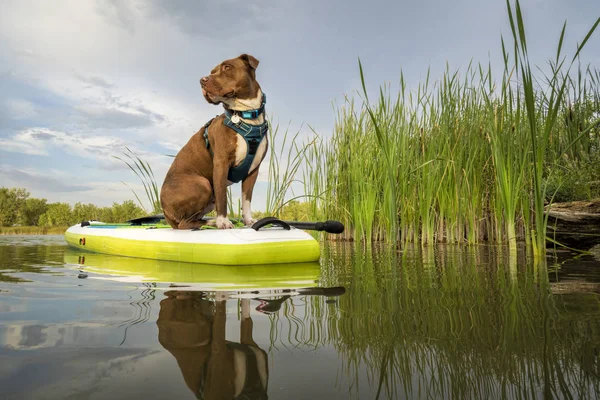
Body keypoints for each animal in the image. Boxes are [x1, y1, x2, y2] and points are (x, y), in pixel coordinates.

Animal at [162, 53, 270, 230]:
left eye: (227, 67)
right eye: (212, 71)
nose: (202, 80)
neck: (245, 116)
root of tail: (164, 211)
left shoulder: (253, 170)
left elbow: (247, 200)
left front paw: (249, 221)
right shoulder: (221, 164)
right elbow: (222, 197)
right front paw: (223, 221)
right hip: (202, 183)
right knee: (185, 223)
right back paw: (213, 222)